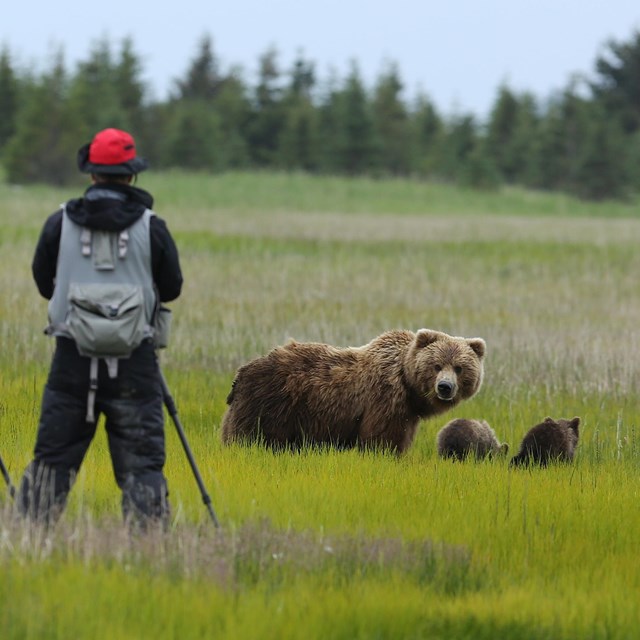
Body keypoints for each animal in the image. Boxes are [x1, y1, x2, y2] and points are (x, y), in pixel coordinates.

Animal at [220, 330, 484, 456]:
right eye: (437, 365)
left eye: (459, 367)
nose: (445, 387)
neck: (407, 384)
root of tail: (241, 372)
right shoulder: (384, 399)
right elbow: (381, 440)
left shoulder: (408, 414)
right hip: (269, 405)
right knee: (246, 438)